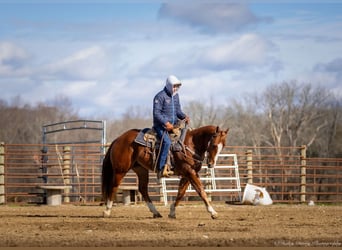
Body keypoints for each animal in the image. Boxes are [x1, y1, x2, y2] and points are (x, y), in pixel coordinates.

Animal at [102, 125, 230, 219]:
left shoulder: (187, 175)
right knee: (114, 186)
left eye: (223, 146)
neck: (190, 144)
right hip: (120, 170)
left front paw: (172, 212)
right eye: (214, 145)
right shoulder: (190, 172)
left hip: (141, 170)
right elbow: (201, 191)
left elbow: (181, 193)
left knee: (143, 189)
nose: (211, 164)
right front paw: (213, 212)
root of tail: (118, 139)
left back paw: (156, 212)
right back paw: (107, 211)